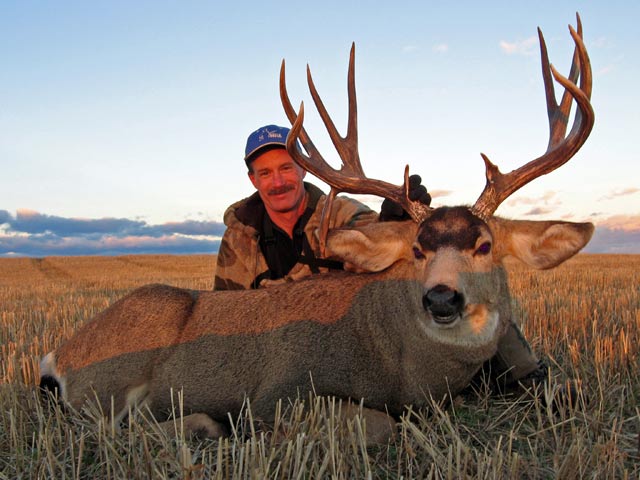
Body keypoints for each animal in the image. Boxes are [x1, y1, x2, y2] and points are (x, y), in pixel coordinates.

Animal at [40, 15, 596, 442]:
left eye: (484, 244)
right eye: (417, 249)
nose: (441, 298)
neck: (403, 365)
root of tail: (57, 357)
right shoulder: (280, 393)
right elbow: (381, 426)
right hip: (111, 381)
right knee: (111, 429)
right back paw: (207, 424)